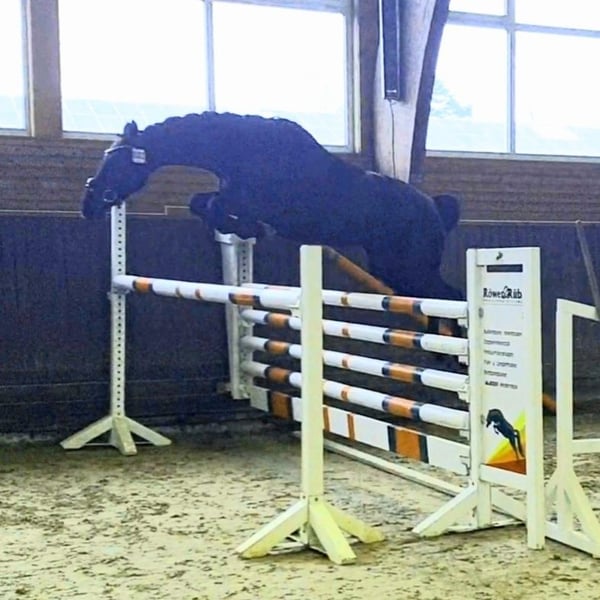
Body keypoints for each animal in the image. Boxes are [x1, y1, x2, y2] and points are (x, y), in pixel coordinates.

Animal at [81, 112, 462, 300]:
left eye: (116, 161)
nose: (89, 204)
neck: (243, 149)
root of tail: (434, 210)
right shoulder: (233, 194)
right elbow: (201, 203)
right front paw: (242, 229)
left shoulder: (251, 200)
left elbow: (216, 205)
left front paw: (252, 229)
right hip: (390, 267)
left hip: (411, 266)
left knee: (451, 298)